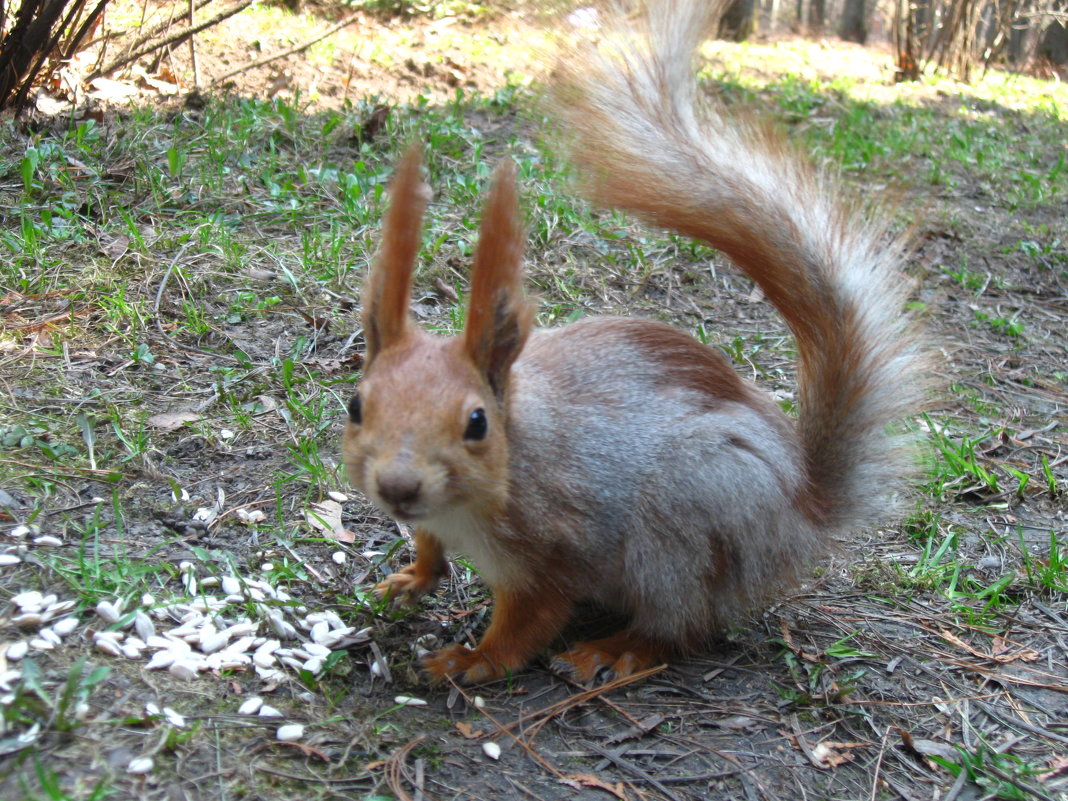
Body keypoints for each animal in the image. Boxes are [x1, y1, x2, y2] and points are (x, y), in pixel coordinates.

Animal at [339, 0, 918, 687]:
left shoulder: (556, 544)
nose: (399, 488)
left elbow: (527, 623)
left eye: (477, 423)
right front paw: (413, 577)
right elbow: (429, 549)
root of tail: (802, 513)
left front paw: (471, 659)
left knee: (682, 625)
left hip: (685, 523)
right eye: (356, 405)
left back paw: (618, 650)